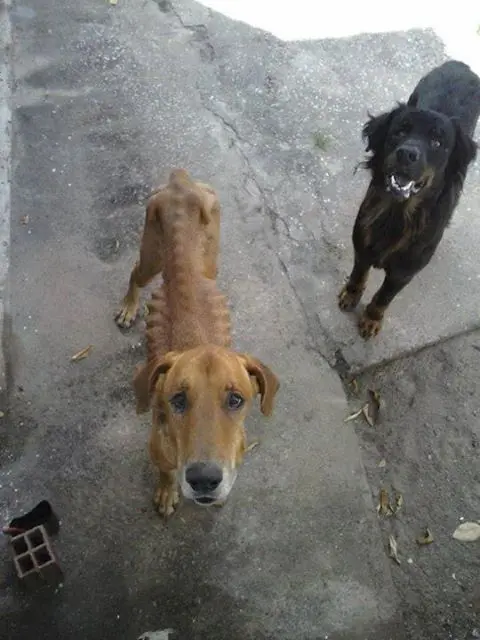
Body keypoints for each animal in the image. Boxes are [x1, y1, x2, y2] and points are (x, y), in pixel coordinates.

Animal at [117, 169, 282, 516]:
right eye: (178, 399)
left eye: (235, 399)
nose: (204, 479)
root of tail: (180, 180)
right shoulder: (159, 451)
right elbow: (166, 473)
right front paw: (167, 492)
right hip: (151, 254)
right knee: (136, 273)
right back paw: (128, 306)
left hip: (210, 255)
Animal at [338, 61, 480, 340]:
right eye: (399, 131)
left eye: (437, 142)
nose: (406, 154)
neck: (398, 214)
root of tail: (460, 64)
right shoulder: (362, 243)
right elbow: (358, 274)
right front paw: (351, 294)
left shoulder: (405, 271)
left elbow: (384, 297)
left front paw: (372, 319)